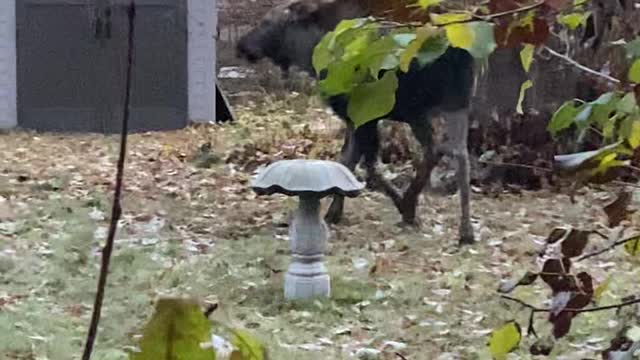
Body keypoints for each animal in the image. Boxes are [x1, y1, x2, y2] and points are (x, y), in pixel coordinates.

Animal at [238, 0, 478, 245]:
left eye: (267, 22)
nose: (242, 46)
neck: (309, 51)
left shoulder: (363, 115)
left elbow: (365, 165)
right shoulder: (357, 118)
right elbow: (348, 161)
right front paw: (335, 211)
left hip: (422, 106)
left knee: (441, 150)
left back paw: (414, 207)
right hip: (452, 102)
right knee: (454, 153)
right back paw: (464, 229)